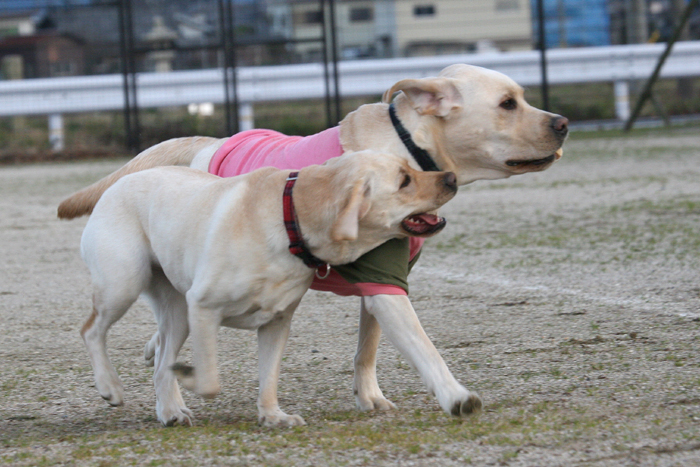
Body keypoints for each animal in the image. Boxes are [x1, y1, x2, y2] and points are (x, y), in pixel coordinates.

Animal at [80, 151, 460, 428]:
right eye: (404, 180)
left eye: (410, 167)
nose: (452, 177)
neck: (289, 219)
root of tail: (118, 183)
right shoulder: (203, 308)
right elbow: (210, 381)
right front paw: (191, 376)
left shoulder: (276, 323)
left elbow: (269, 376)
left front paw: (272, 416)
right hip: (124, 285)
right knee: (92, 330)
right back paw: (110, 387)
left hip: (177, 313)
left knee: (161, 359)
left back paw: (170, 411)